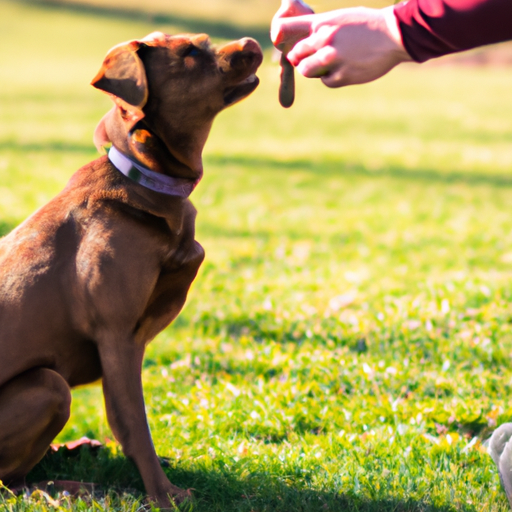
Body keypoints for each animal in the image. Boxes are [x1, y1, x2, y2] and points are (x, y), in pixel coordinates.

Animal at [0, 33, 262, 508]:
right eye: (189, 53)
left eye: (204, 41)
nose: (252, 42)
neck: (142, 179)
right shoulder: (117, 335)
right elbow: (134, 426)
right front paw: (164, 494)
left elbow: (130, 424)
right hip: (49, 385)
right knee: (9, 482)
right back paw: (67, 485)